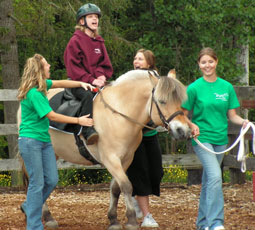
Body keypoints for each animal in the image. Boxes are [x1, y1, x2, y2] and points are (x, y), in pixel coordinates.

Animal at [17, 69, 189, 229]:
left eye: (181, 101)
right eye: (162, 101)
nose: (183, 130)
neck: (120, 113)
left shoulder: (126, 159)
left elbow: (116, 188)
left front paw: (113, 219)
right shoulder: (111, 159)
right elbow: (126, 186)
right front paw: (131, 220)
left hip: (53, 153)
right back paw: (45, 216)